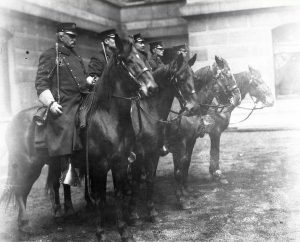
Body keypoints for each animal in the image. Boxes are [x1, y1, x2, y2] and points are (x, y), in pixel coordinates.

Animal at [0, 36, 159, 242]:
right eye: (129, 60)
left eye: (144, 58)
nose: (153, 88)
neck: (109, 117)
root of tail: (14, 120)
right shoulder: (99, 166)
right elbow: (100, 198)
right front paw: (100, 232)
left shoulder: (121, 163)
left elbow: (118, 195)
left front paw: (124, 231)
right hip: (28, 165)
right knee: (21, 189)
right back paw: (26, 224)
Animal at [164, 55, 241, 209]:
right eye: (227, 75)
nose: (238, 97)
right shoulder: (179, 144)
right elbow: (179, 169)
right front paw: (181, 199)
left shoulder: (191, 140)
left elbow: (186, 163)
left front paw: (186, 190)